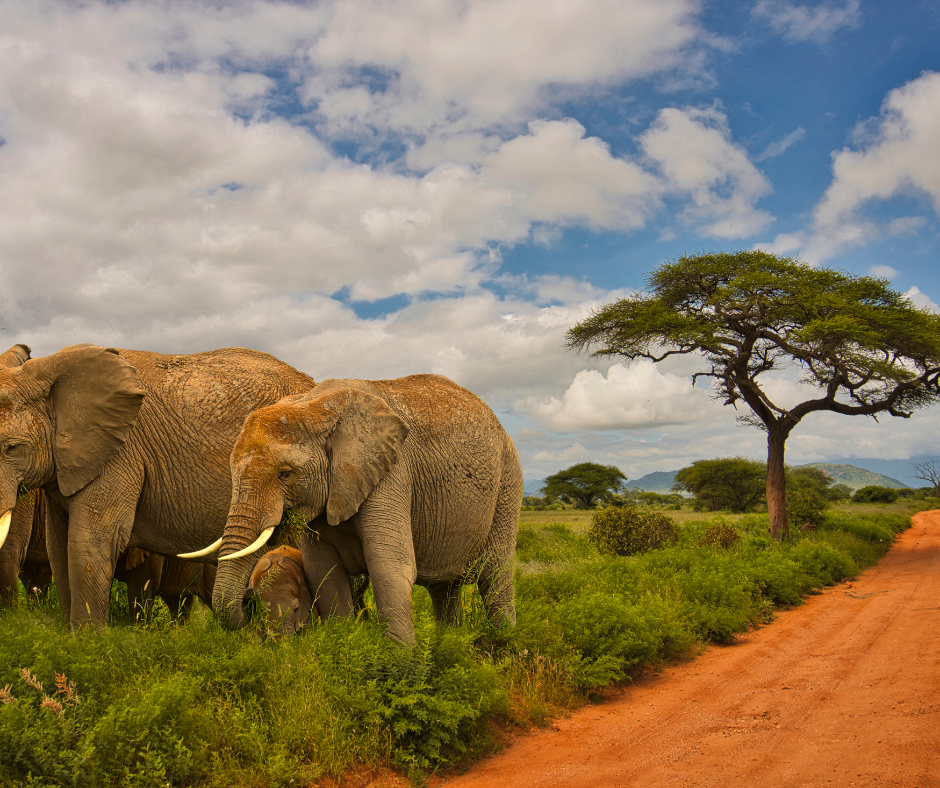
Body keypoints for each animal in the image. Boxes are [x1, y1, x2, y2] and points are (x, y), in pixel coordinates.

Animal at [0, 344, 316, 628]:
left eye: (11, 448)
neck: (46, 370)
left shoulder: (120, 454)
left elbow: (90, 541)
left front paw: (89, 638)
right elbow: (59, 547)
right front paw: (71, 638)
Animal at [205, 376, 520, 648]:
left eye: (285, 473)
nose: (248, 598)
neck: (316, 406)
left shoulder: (392, 473)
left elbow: (389, 566)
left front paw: (401, 665)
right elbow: (324, 572)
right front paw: (346, 644)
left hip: (508, 483)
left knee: (495, 574)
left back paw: (502, 642)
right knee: (444, 587)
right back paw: (450, 641)